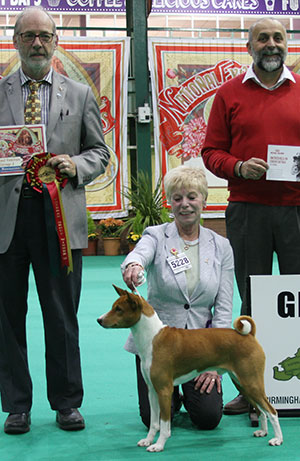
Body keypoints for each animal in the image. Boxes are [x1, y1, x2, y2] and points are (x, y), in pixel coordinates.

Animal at [97, 286, 282, 452]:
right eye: (113, 307)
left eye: (119, 309)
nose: (99, 320)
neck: (152, 338)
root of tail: (249, 335)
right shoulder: (152, 390)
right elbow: (154, 422)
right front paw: (148, 440)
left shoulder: (164, 390)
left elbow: (164, 424)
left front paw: (158, 445)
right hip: (242, 383)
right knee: (261, 410)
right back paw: (263, 432)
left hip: (251, 382)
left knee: (272, 411)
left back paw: (277, 439)